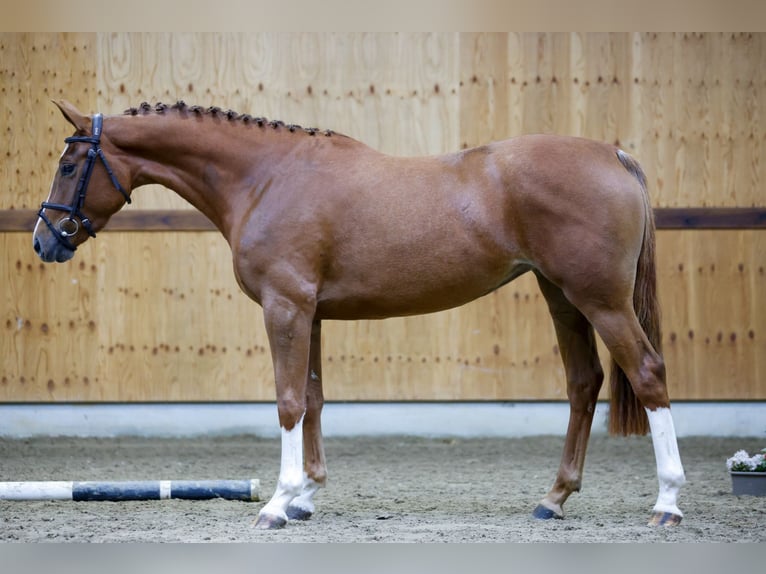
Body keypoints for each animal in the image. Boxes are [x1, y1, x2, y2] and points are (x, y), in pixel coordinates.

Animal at [33, 100, 688, 532]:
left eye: (68, 166)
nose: (44, 241)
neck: (266, 178)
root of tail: (614, 155)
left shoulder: (286, 308)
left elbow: (288, 402)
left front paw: (277, 505)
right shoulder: (312, 314)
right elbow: (313, 398)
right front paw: (305, 497)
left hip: (600, 301)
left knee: (648, 373)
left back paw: (667, 503)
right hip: (562, 296)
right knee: (584, 383)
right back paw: (554, 498)